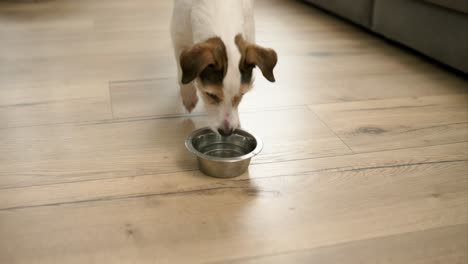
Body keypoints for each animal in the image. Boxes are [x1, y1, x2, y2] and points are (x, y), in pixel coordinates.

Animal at [170, 0, 276, 136]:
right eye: (211, 95)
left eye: (241, 94)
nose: (226, 132)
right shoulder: (179, 38)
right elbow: (182, 75)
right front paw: (189, 97)